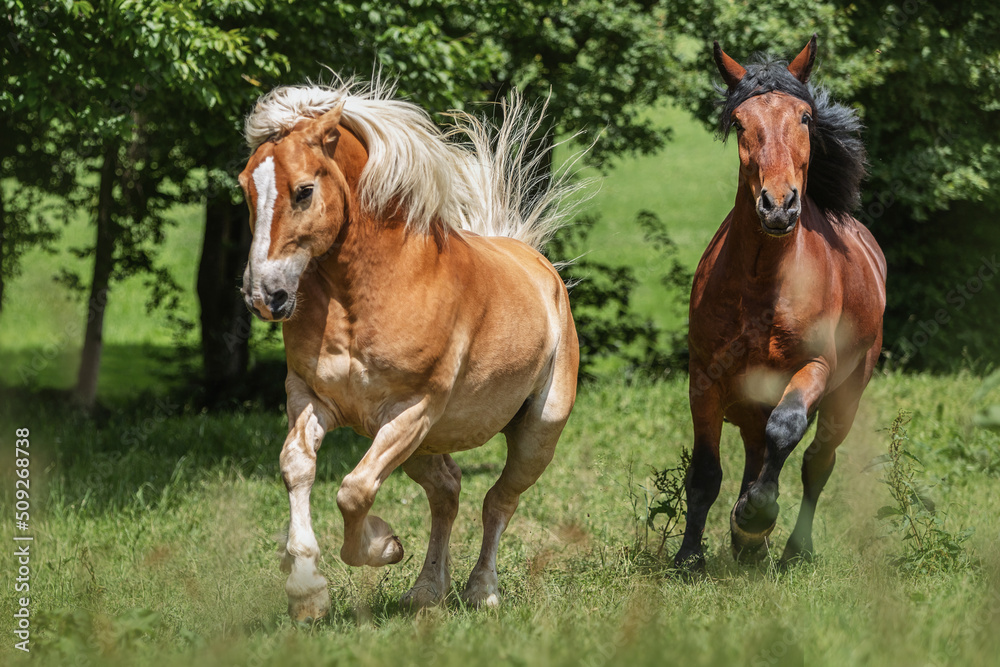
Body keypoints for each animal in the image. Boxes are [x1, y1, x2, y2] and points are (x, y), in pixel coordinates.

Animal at [237, 80, 584, 621]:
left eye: (304, 191)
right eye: (246, 188)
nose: (263, 295)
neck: (366, 295)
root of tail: (537, 266)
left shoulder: (410, 410)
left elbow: (354, 491)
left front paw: (382, 546)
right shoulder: (311, 397)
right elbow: (298, 467)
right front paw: (307, 590)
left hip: (535, 433)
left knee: (498, 500)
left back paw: (481, 590)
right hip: (425, 443)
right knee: (447, 491)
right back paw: (427, 590)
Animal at [673, 36, 886, 570]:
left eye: (805, 118)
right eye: (739, 122)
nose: (778, 205)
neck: (761, 286)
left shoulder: (814, 368)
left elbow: (786, 429)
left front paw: (755, 518)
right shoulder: (704, 379)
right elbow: (705, 473)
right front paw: (690, 556)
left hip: (847, 395)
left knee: (815, 461)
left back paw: (790, 547)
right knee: (756, 451)